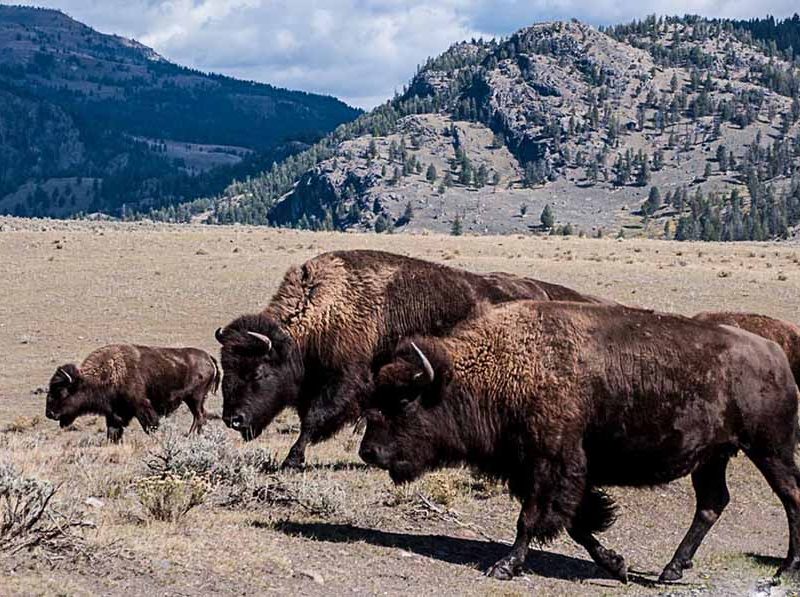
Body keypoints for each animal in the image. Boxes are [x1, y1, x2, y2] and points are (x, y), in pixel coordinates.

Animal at [45, 342, 220, 440]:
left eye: (62, 392)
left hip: (194, 398)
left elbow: (151, 426)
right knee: (201, 416)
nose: (50, 413)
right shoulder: (114, 414)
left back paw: (191, 436)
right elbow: (113, 432)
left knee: (199, 416)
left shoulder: (142, 407)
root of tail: (208, 358)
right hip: (195, 400)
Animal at [216, 249, 604, 468]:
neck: (325, 309)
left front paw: (291, 461)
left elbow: (314, 420)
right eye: (227, 372)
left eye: (258, 372)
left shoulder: (346, 380)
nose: (233, 419)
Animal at [360, 300, 800, 580]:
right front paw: (617, 565)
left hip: (770, 449)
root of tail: (775, 355)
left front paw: (504, 566)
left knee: (790, 496)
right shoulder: (549, 471)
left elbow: (532, 519)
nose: (369, 452)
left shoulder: (549, 464)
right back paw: (671, 570)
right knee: (711, 504)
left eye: (404, 400)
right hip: (713, 457)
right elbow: (575, 522)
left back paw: (786, 568)